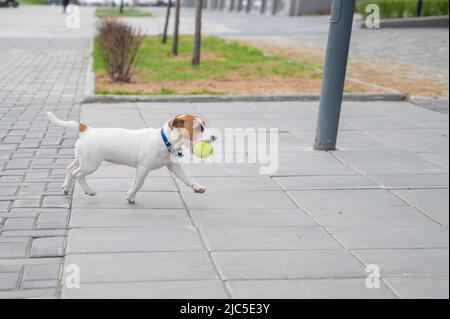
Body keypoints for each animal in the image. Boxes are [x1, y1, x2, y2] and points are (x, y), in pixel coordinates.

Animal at [48, 111, 217, 204]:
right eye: (199, 128)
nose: (215, 137)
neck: (165, 141)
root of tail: (87, 130)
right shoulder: (143, 168)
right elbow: (138, 184)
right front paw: (130, 196)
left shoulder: (173, 166)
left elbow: (186, 177)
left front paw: (197, 187)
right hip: (90, 164)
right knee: (77, 174)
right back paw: (89, 191)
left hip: (82, 159)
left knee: (70, 168)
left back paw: (66, 188)